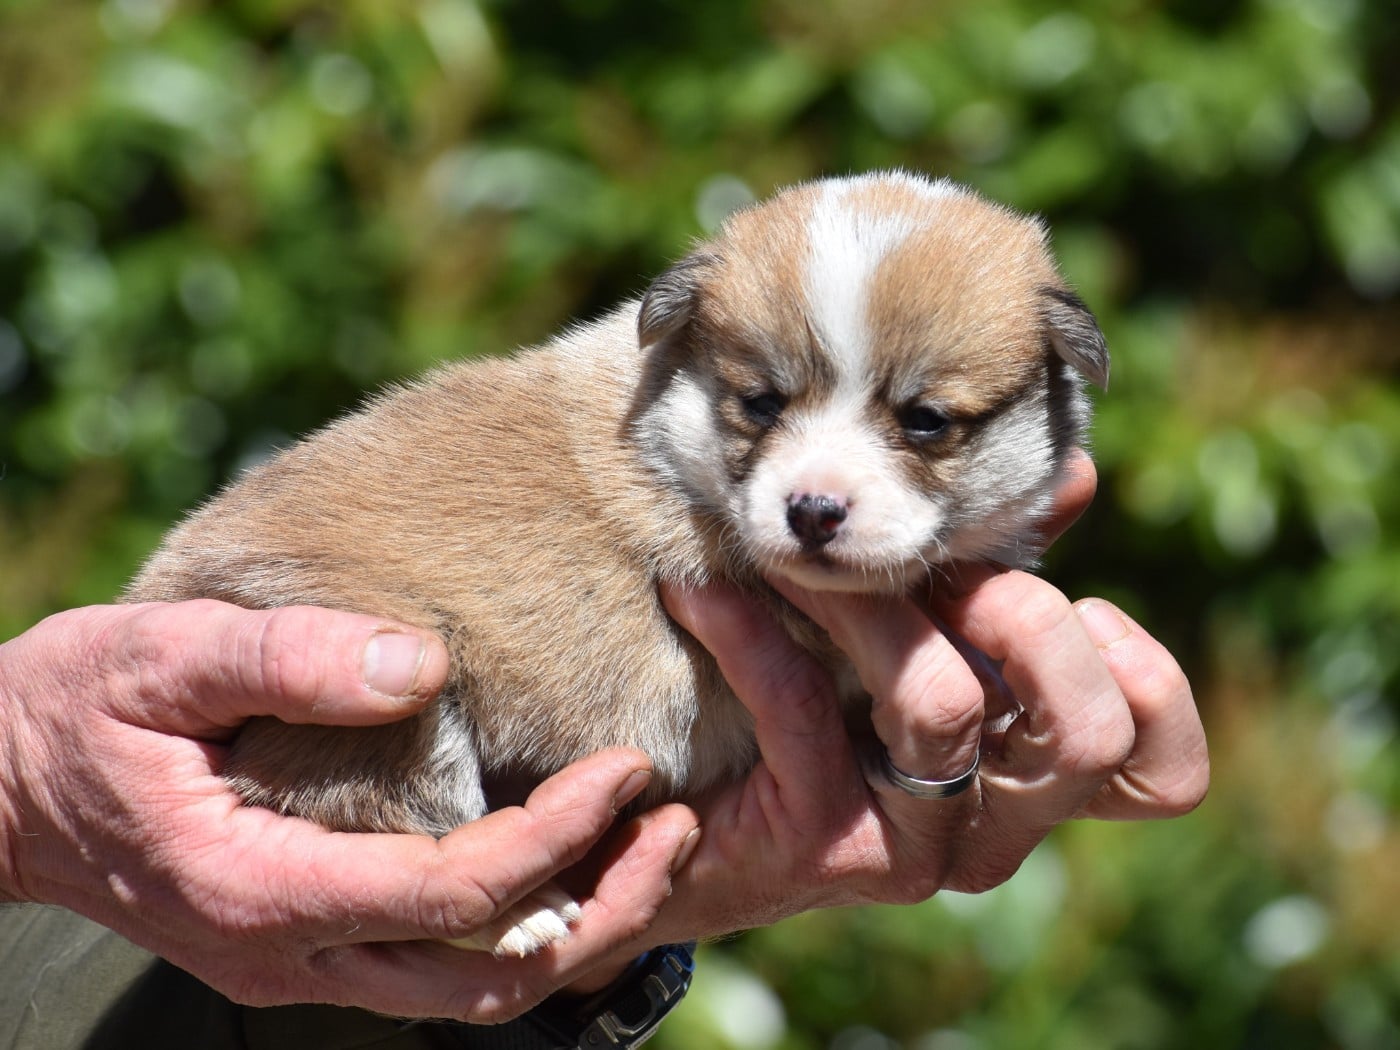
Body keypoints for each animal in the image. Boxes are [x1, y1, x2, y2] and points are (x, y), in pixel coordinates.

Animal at [126, 171, 1109, 954]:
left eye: (926, 421)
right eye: (760, 402)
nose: (813, 511)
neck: (673, 432)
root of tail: (158, 589)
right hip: (386, 685)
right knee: (384, 816)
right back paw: (518, 914)